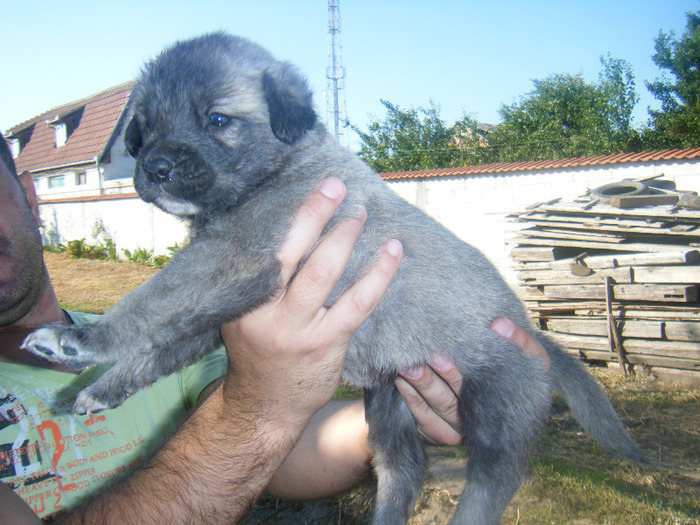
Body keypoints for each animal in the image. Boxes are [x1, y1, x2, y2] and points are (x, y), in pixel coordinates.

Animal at [24, 32, 644, 524]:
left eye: (217, 119)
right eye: (146, 127)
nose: (153, 169)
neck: (279, 169)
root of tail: (537, 338)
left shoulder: (229, 261)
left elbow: (149, 304)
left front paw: (79, 339)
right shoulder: (223, 304)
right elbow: (159, 345)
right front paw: (103, 387)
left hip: (495, 412)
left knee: (490, 484)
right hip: (389, 405)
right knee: (403, 471)